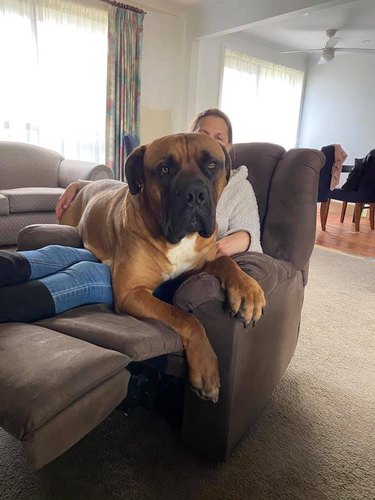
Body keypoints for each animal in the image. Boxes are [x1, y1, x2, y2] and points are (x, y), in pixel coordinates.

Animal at [60, 134, 266, 402]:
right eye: (165, 169)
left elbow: (224, 261)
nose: (195, 193)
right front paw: (206, 368)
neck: (177, 239)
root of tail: (86, 186)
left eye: (212, 165)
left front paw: (246, 289)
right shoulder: (131, 293)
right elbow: (185, 318)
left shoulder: (195, 266)